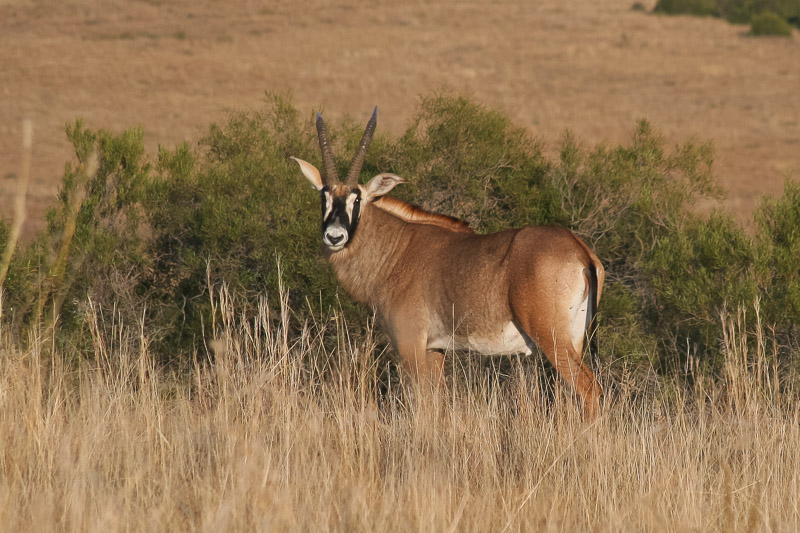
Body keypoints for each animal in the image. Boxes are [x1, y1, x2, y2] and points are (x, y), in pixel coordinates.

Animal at [291, 108, 605, 419]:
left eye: (357, 199)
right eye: (324, 196)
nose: (335, 236)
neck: (396, 249)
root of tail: (580, 251)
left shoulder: (410, 343)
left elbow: (419, 402)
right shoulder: (435, 348)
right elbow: (435, 402)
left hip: (552, 338)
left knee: (588, 388)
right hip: (575, 337)